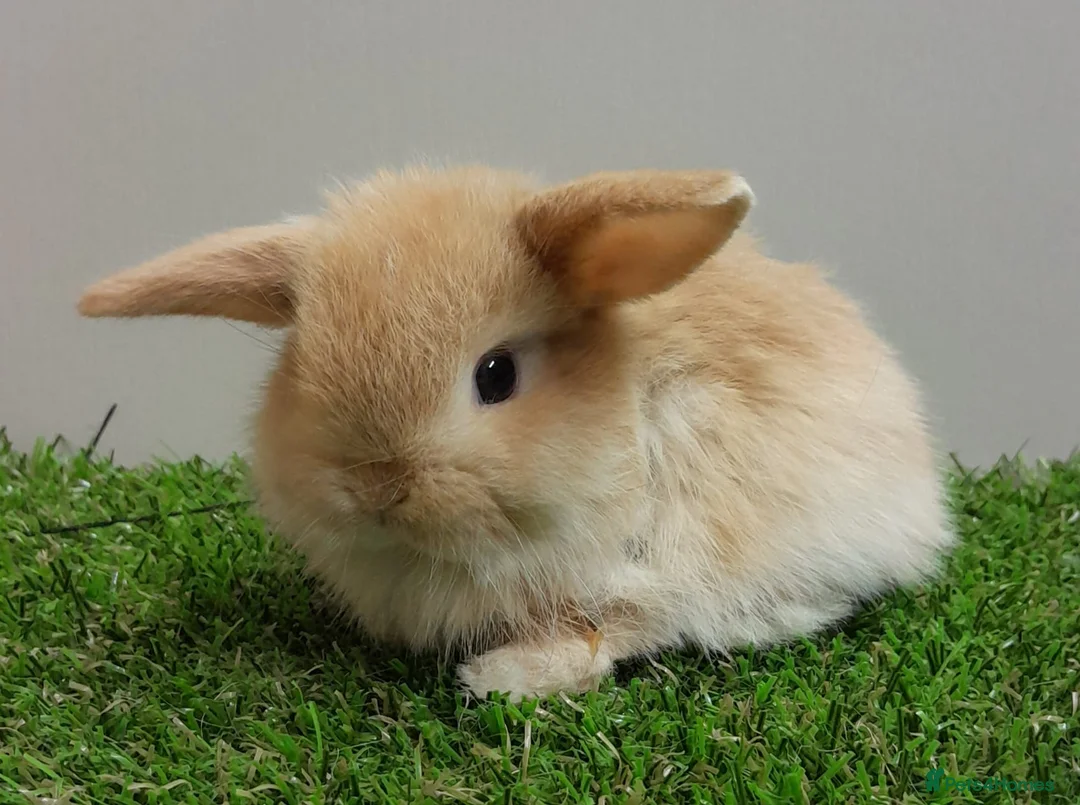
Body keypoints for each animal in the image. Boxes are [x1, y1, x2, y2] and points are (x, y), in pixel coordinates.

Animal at [78, 165, 955, 701]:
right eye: (300, 364)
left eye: (496, 375)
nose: (377, 486)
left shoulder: (666, 558)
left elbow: (615, 625)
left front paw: (502, 677)